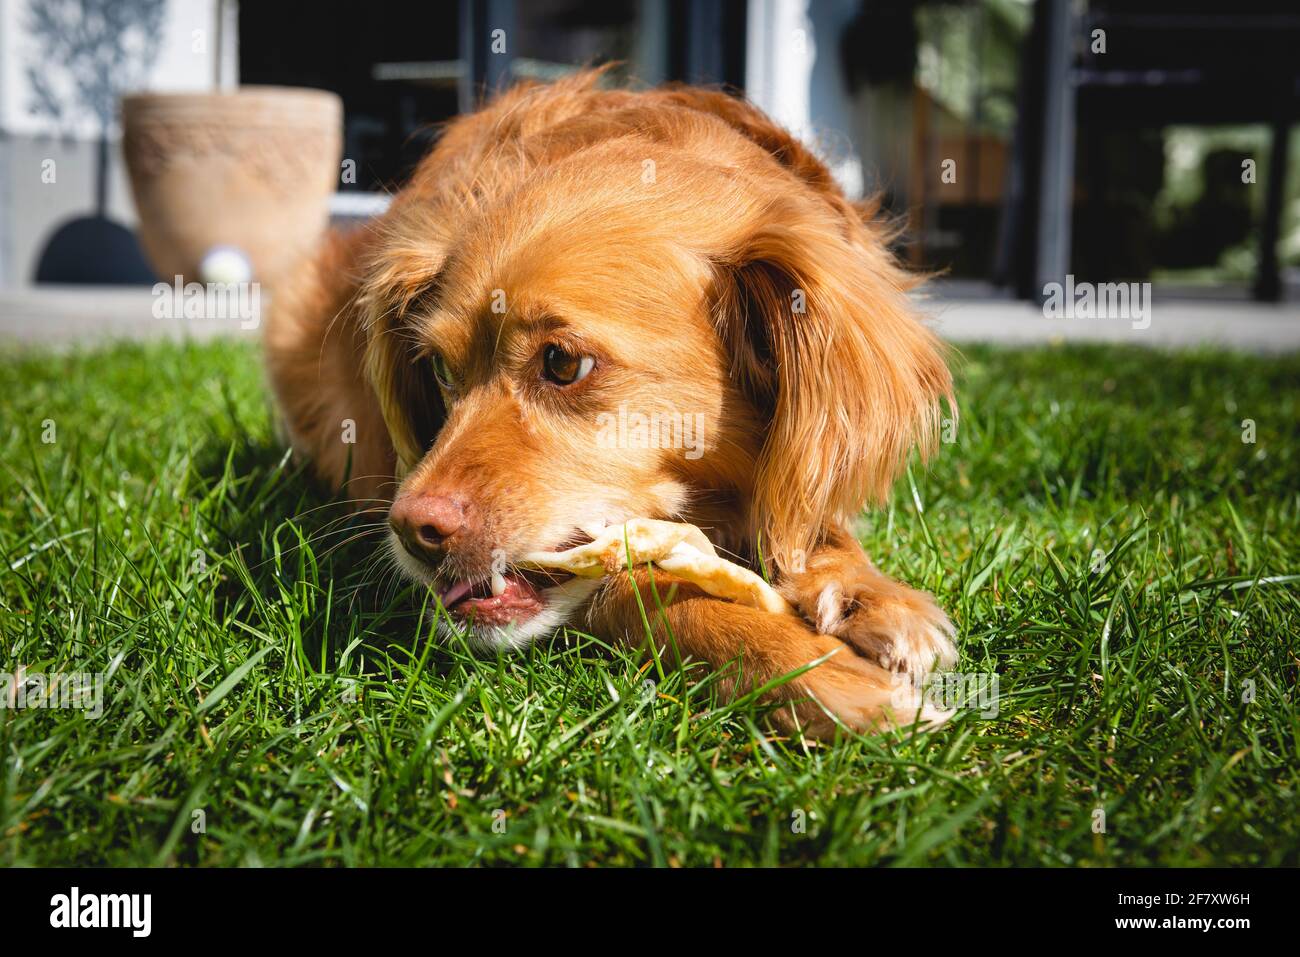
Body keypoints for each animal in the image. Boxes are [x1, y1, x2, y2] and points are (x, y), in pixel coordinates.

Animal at [266, 69, 956, 738]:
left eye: (563, 364)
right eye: (437, 368)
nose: (412, 530)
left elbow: (806, 517)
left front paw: (869, 595)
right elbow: (657, 589)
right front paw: (818, 672)